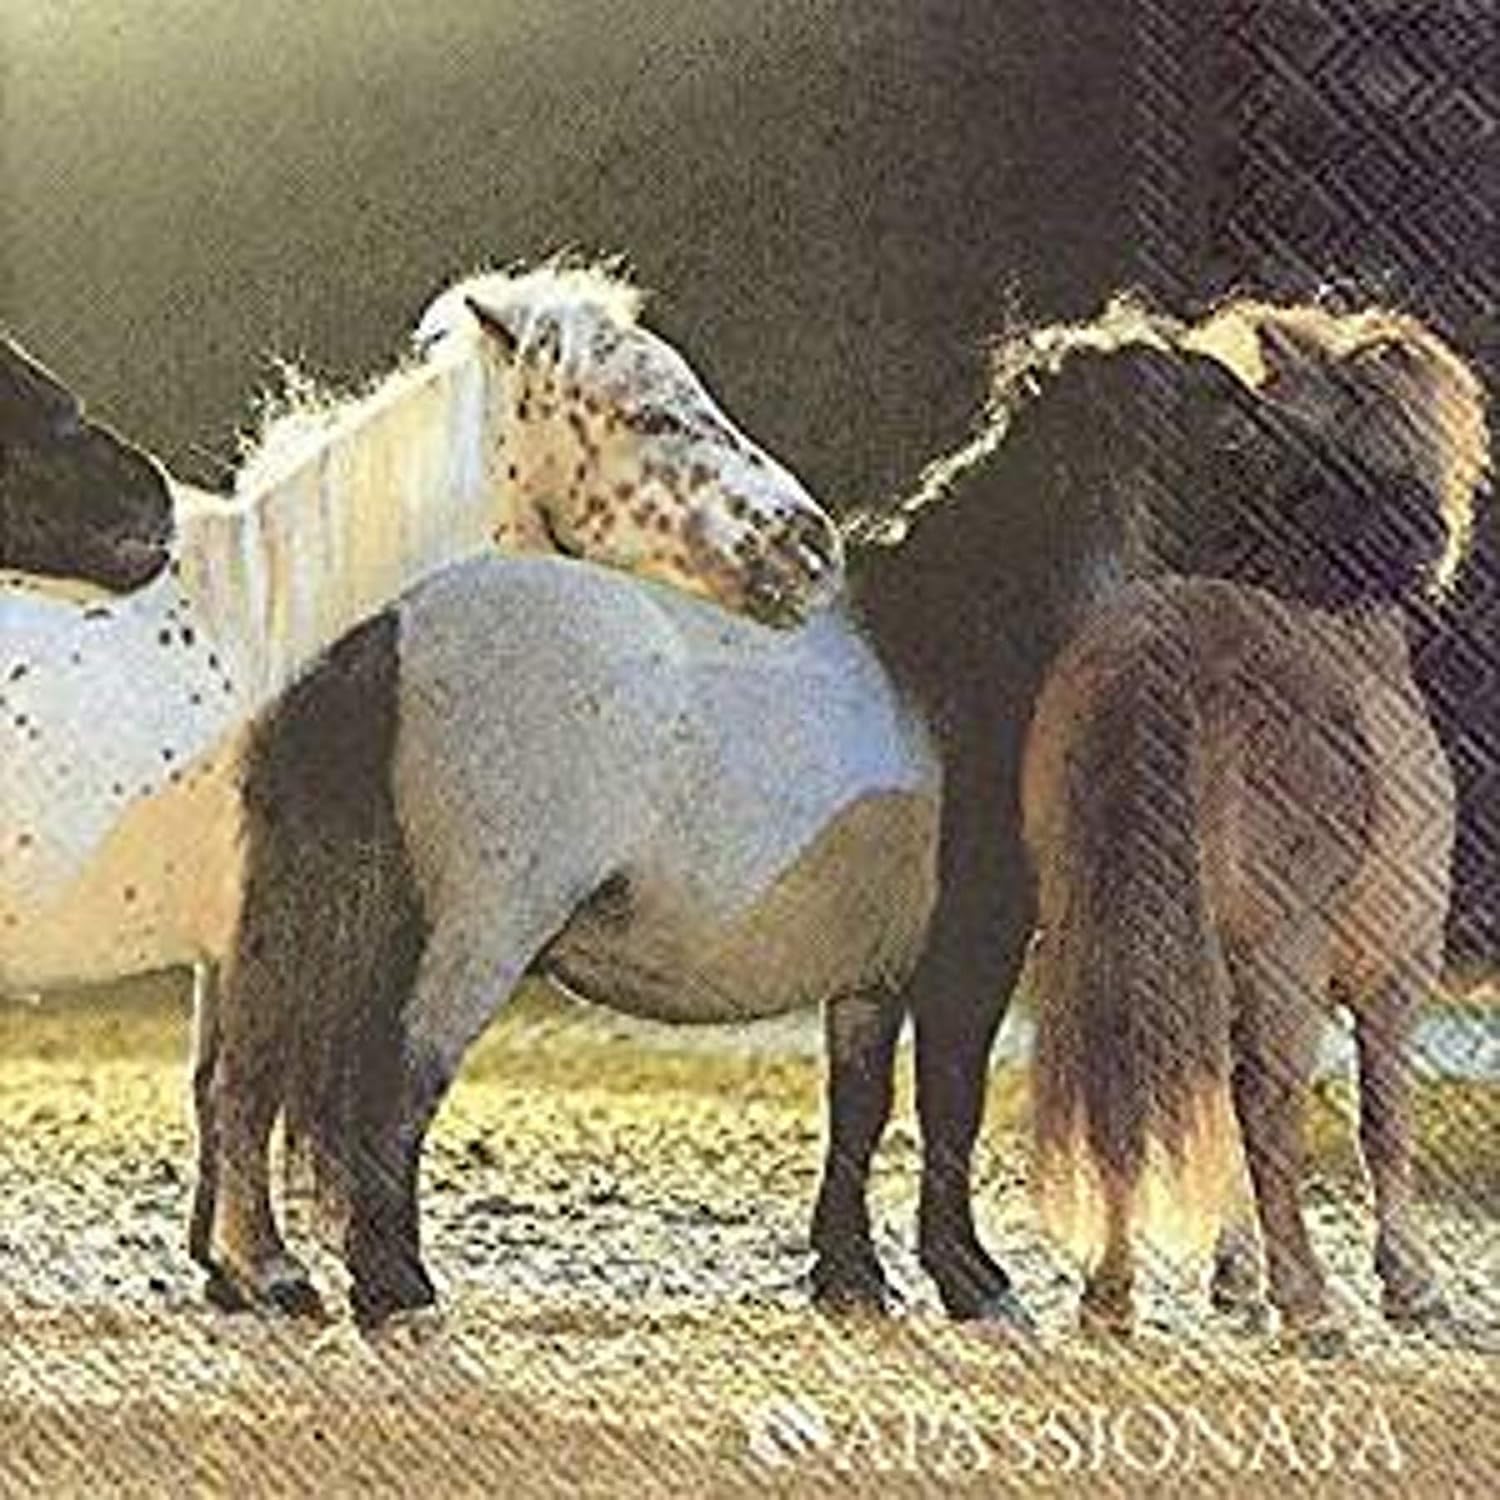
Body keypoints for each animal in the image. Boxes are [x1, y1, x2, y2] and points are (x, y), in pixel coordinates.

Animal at [187, 304, 1266, 1323]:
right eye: (1226, 420)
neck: (964, 650)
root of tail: (389, 632)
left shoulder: (871, 975)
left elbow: (860, 1106)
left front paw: (851, 1277)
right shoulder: (974, 949)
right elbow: (950, 1099)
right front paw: (974, 1280)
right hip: (477, 936)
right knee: (393, 1081)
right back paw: (394, 1285)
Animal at [1024, 303, 1490, 1354]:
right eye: (1376, 444)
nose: (1427, 538)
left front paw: (1234, 1276)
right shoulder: (1395, 976)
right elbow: (1380, 1121)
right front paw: (1408, 1283)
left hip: (1108, 937)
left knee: (1126, 1074)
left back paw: (1110, 1293)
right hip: (1283, 955)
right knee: (1268, 1108)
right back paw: (1309, 1305)